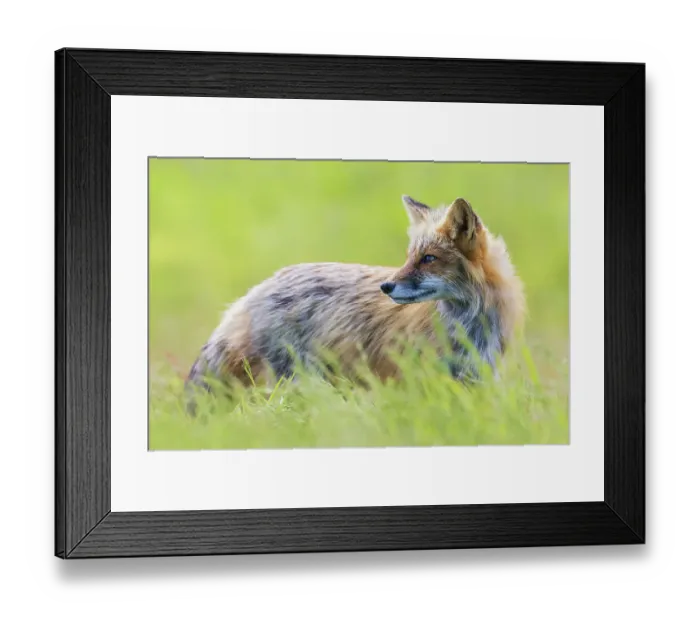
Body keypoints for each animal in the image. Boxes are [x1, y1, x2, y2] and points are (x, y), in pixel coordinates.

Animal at [186, 195, 525, 409]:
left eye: (429, 259)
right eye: (408, 257)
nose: (385, 286)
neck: (470, 327)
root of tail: (253, 292)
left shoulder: (475, 379)